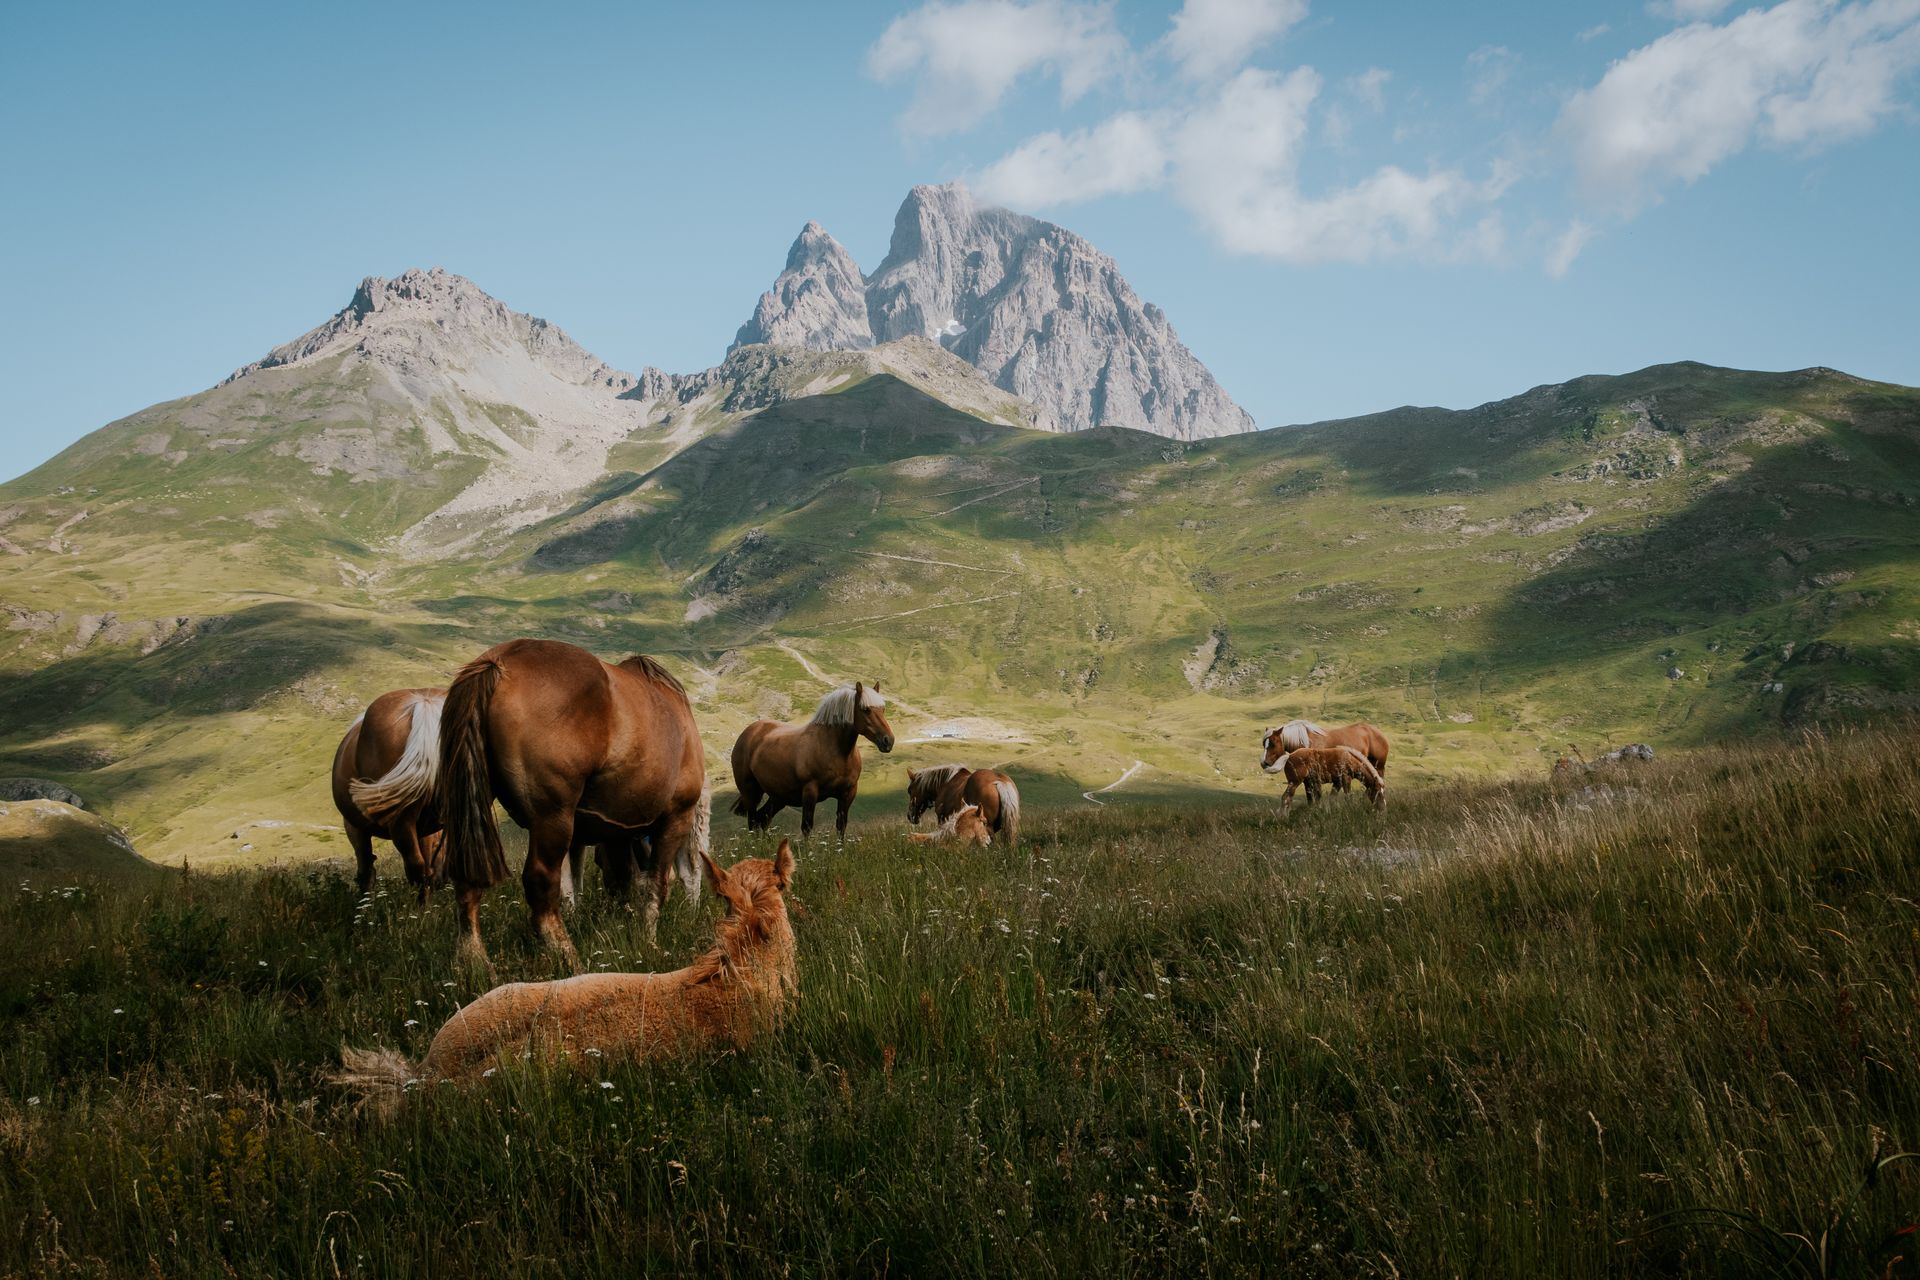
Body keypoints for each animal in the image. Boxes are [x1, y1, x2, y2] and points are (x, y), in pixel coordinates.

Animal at [437, 638, 709, 976]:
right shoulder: (675, 819)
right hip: (552, 819)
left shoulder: (617, 831)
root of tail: (498, 662)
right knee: (540, 885)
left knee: (467, 881)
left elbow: (624, 882)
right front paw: (648, 942)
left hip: (473, 810)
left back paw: (474, 964)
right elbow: (655, 885)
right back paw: (570, 959)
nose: (695, 914)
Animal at [729, 682, 894, 839]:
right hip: (750, 791)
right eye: (866, 709)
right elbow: (807, 827)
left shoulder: (848, 793)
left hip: (779, 797)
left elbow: (841, 826)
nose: (888, 741)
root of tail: (749, 731)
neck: (835, 751)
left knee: (762, 819)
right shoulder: (810, 792)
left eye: (883, 709)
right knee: (752, 821)